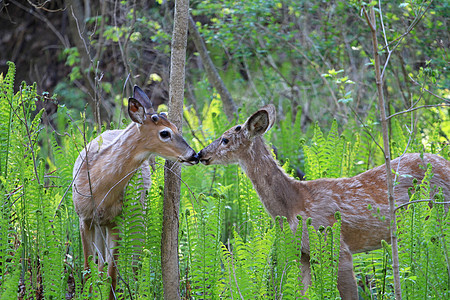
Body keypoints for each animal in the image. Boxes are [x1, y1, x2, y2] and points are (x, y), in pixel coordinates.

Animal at [73, 85, 198, 298]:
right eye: (165, 133)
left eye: (176, 127)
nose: (194, 154)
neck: (97, 189)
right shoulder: (84, 219)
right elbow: (88, 270)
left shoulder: (115, 220)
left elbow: (112, 275)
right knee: (100, 264)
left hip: (137, 213)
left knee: (131, 263)